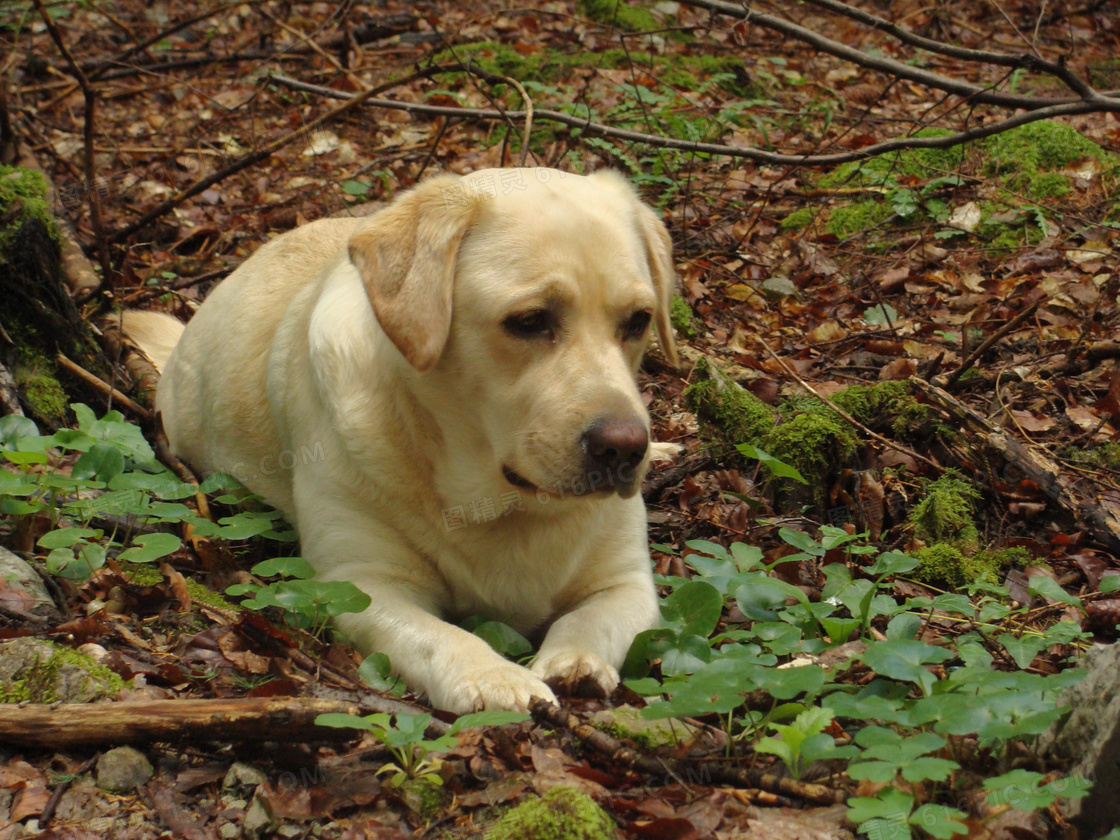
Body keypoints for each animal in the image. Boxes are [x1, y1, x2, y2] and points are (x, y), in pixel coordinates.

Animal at [127, 168, 676, 712]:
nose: (625, 448)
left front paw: (576, 661)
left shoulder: (629, 582)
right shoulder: (363, 583)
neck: (501, 505)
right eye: (529, 321)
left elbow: (591, 619)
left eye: (638, 321)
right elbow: (442, 637)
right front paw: (493, 677)